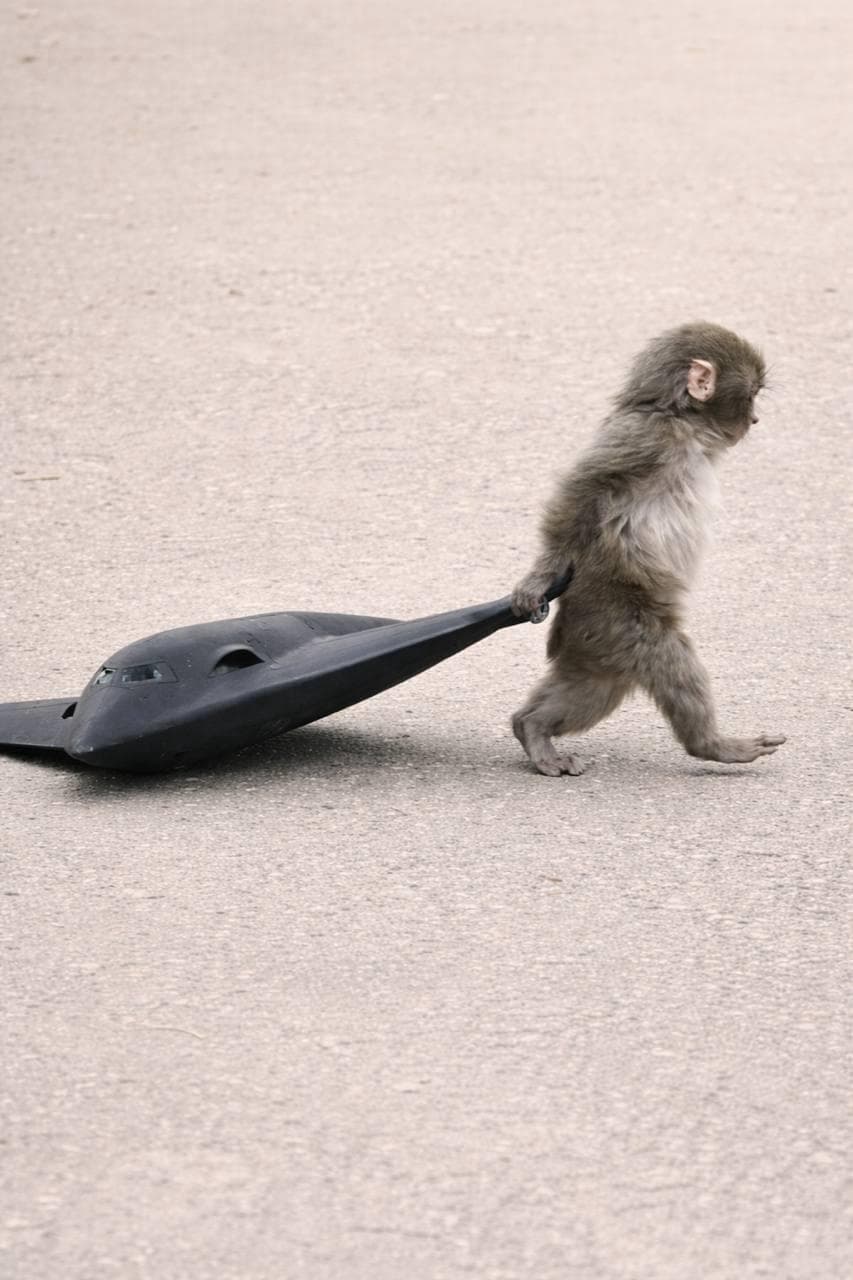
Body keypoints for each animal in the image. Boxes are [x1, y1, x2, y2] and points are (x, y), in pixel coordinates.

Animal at [510, 321, 786, 777]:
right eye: (752, 393)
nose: (755, 418)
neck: (678, 419)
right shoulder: (643, 438)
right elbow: (583, 491)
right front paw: (541, 575)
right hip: (617, 613)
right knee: (666, 658)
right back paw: (712, 744)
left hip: (597, 637)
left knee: (596, 684)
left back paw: (530, 724)